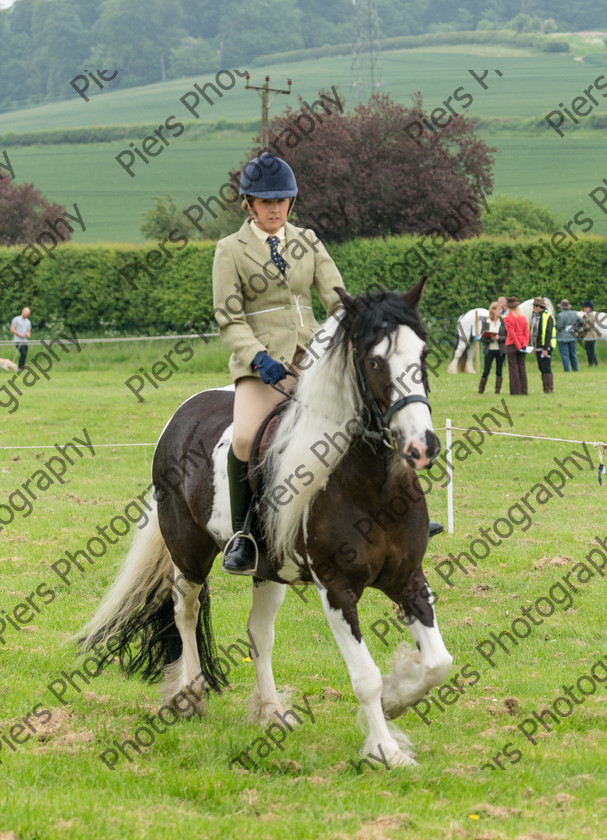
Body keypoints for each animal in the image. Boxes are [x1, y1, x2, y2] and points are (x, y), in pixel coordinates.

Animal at [79, 280, 452, 768]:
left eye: (422, 354)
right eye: (374, 361)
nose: (421, 446)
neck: (370, 483)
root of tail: (184, 413)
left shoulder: (407, 577)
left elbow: (439, 663)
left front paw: (397, 698)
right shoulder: (336, 588)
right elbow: (365, 677)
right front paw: (385, 751)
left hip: (268, 570)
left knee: (259, 635)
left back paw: (271, 711)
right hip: (189, 552)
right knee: (186, 610)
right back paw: (189, 697)